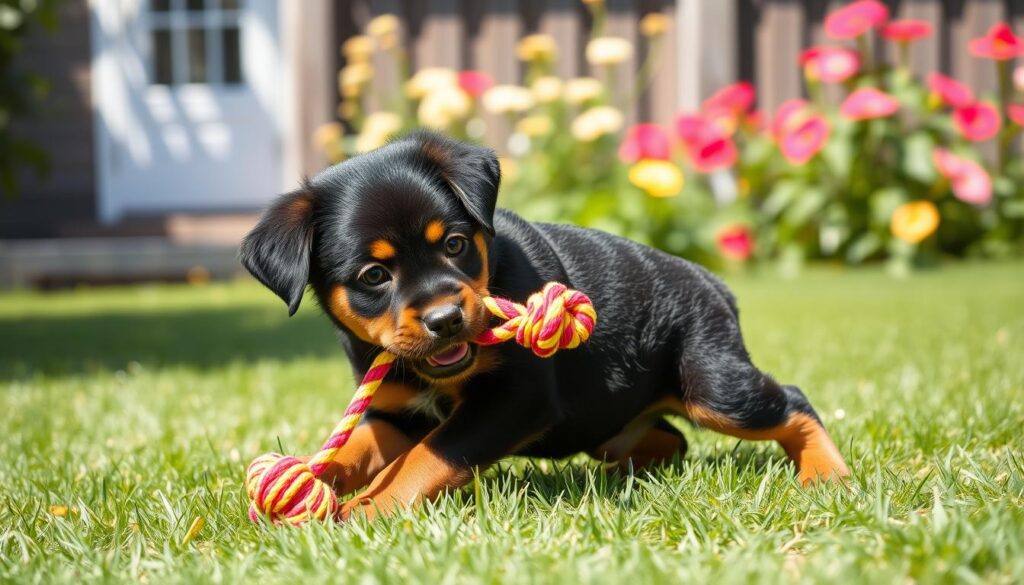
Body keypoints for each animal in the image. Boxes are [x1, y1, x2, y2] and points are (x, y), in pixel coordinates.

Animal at [239, 130, 847, 520]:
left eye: (455, 244)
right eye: (373, 276)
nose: (446, 318)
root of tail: (714, 282)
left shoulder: (512, 400)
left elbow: (430, 455)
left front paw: (370, 508)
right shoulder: (396, 411)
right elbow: (355, 449)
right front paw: (309, 481)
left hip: (713, 383)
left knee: (791, 403)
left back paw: (827, 475)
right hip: (618, 424)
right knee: (667, 440)